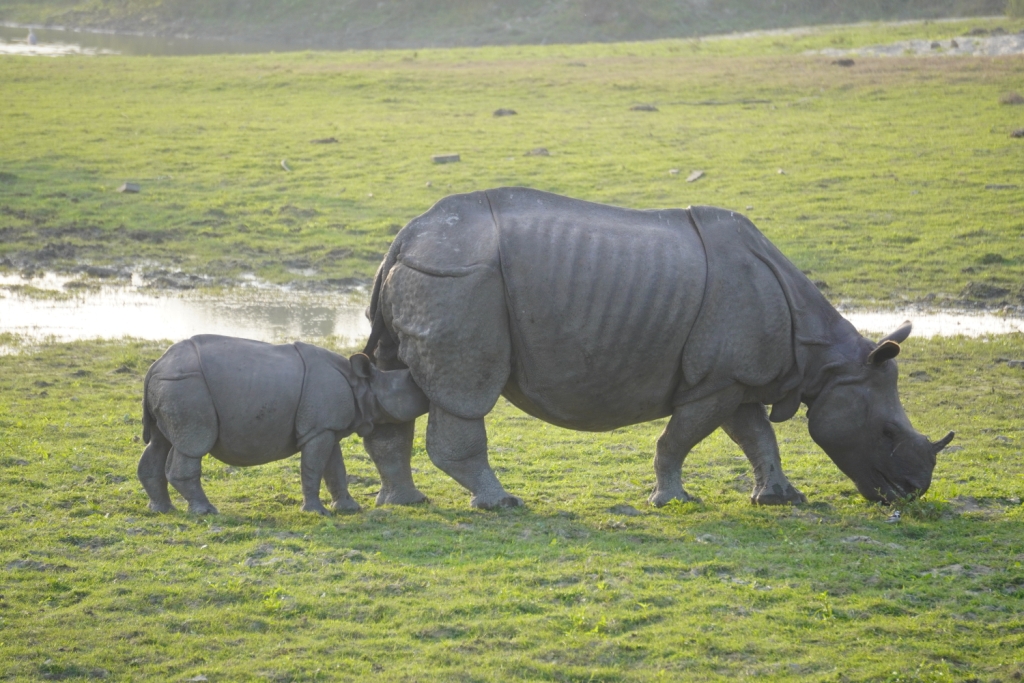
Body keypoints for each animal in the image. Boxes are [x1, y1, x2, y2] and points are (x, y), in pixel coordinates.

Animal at [139, 335, 429, 514]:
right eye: (410, 383)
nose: (426, 390)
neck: (364, 384)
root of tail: (155, 366)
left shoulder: (326, 428)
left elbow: (335, 469)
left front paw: (349, 509)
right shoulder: (318, 430)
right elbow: (313, 467)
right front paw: (317, 512)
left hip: (171, 384)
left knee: (159, 442)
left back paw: (162, 510)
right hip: (186, 385)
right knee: (192, 445)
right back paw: (206, 512)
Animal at [361, 188, 953, 509]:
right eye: (887, 433)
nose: (913, 490)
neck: (825, 360)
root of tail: (404, 238)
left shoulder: (737, 379)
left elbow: (758, 437)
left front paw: (780, 498)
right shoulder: (717, 380)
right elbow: (679, 439)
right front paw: (673, 501)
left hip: (432, 272)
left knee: (397, 385)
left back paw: (403, 502)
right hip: (459, 277)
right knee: (465, 396)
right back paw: (502, 503)